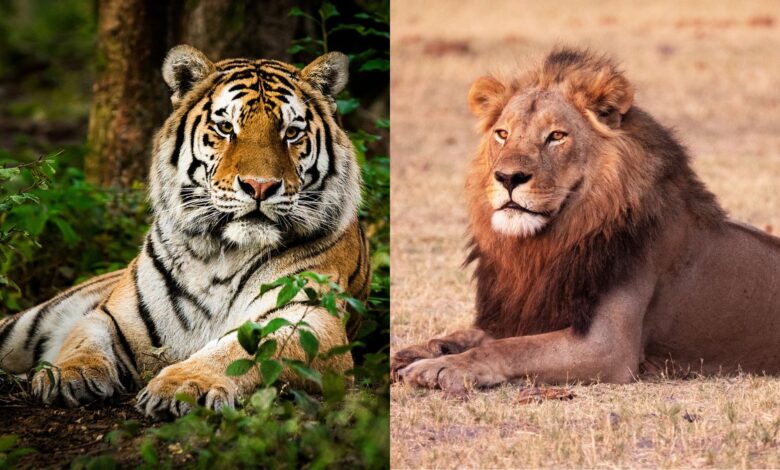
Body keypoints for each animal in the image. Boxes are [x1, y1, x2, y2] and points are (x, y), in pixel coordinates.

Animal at [0, 45, 370, 418]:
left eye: (291, 133)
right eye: (225, 127)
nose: (260, 186)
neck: (221, 254)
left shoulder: (309, 319)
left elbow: (241, 351)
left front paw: (184, 385)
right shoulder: (112, 315)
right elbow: (83, 339)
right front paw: (67, 373)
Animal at [391, 47, 780, 393]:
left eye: (556, 136)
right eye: (503, 134)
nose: (508, 177)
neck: (547, 246)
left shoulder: (609, 346)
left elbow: (511, 347)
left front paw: (442, 367)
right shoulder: (527, 309)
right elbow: (472, 334)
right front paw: (420, 351)